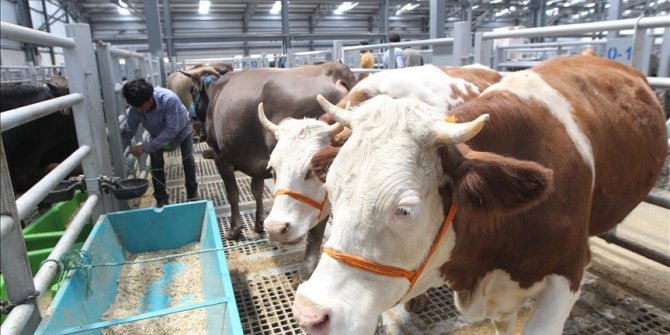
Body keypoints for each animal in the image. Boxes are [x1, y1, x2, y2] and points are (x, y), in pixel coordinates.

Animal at [189, 62, 356, 242]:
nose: (190, 116)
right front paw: (259, 223)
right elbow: (257, 189)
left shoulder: (220, 156)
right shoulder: (259, 163)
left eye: (193, 91)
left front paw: (234, 230)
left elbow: (233, 193)